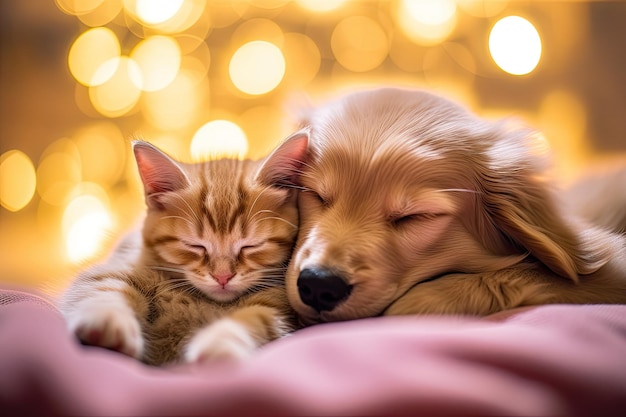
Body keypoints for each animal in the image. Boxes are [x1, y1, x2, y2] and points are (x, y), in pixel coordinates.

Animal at [59, 132, 308, 366]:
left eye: (251, 245)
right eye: (194, 245)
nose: (223, 277)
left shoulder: (277, 305)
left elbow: (254, 319)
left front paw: (219, 344)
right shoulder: (116, 265)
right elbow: (104, 287)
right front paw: (108, 323)